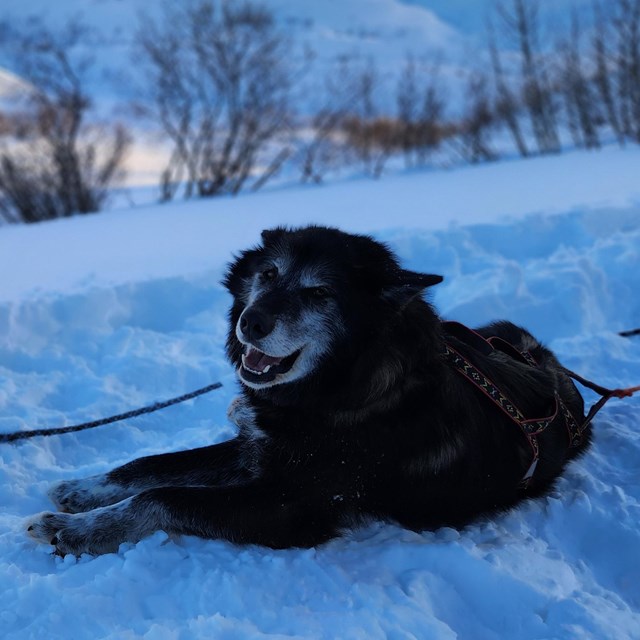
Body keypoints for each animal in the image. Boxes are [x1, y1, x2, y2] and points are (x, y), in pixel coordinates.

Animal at [28, 226, 592, 556]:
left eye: (320, 292)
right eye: (268, 272)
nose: (251, 323)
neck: (344, 390)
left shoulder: (292, 505)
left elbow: (161, 496)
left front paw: (78, 531)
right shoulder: (258, 450)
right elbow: (150, 466)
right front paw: (84, 491)